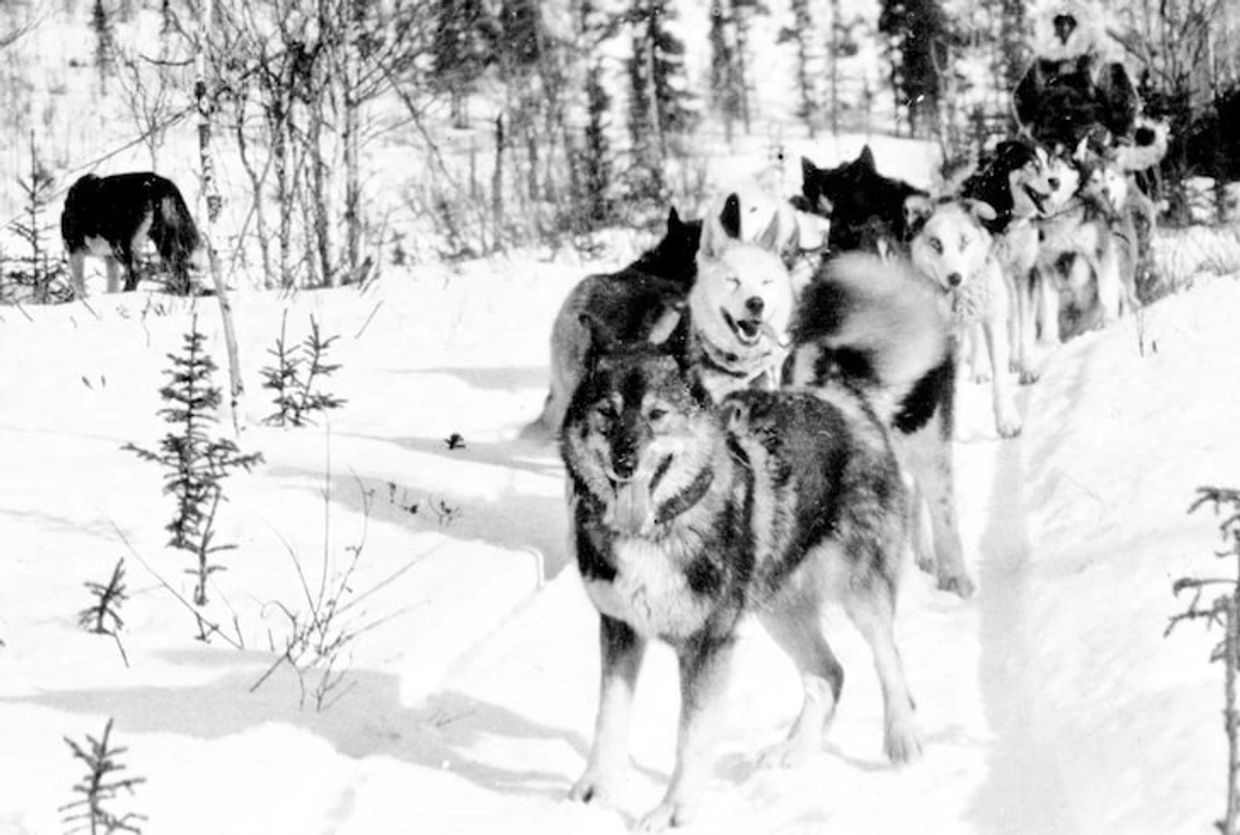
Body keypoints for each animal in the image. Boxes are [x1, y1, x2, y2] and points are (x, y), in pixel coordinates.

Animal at [61, 171, 207, 295]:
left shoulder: (75, 250)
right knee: (181, 275)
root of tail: (156, 182)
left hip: (120, 246)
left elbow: (79, 284)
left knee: (135, 273)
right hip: (163, 241)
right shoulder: (108, 257)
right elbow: (111, 284)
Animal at [912, 199, 1016, 439]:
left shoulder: (993, 320)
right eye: (936, 244)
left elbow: (1000, 378)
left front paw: (1007, 421)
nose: (954, 278)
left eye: (964, 241)